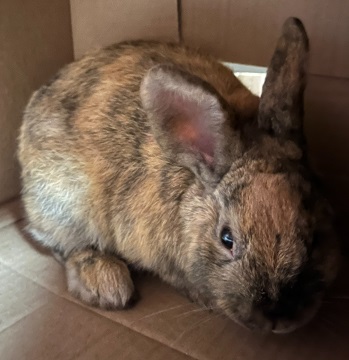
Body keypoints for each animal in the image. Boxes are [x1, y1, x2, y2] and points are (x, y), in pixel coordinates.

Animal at [17, 16, 338, 332]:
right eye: (226, 239)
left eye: (316, 235)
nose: (278, 315)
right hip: (65, 205)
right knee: (63, 245)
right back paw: (107, 284)